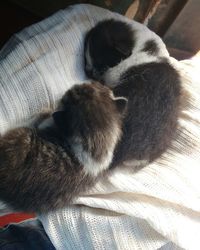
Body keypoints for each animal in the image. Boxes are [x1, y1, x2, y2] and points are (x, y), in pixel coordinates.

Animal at [0, 82, 126, 213]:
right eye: (97, 84)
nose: (76, 85)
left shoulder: (43, 124)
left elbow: (41, 118)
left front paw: (45, 111)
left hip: (19, 137)